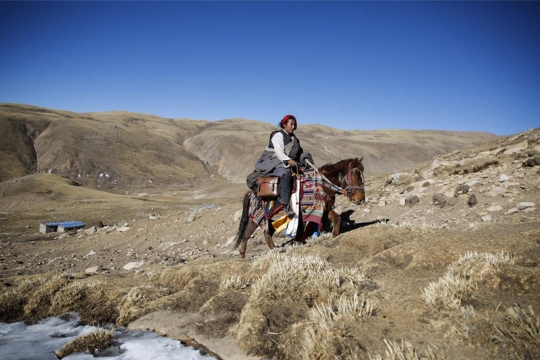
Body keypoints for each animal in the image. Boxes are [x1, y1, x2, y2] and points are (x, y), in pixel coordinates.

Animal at [233, 158, 364, 258]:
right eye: (356, 174)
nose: (361, 199)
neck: (322, 185)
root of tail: (251, 194)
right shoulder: (305, 212)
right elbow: (300, 230)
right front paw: (297, 244)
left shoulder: (325, 209)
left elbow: (337, 219)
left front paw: (334, 235)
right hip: (257, 218)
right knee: (248, 234)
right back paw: (245, 255)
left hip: (269, 219)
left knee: (263, 234)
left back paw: (271, 250)